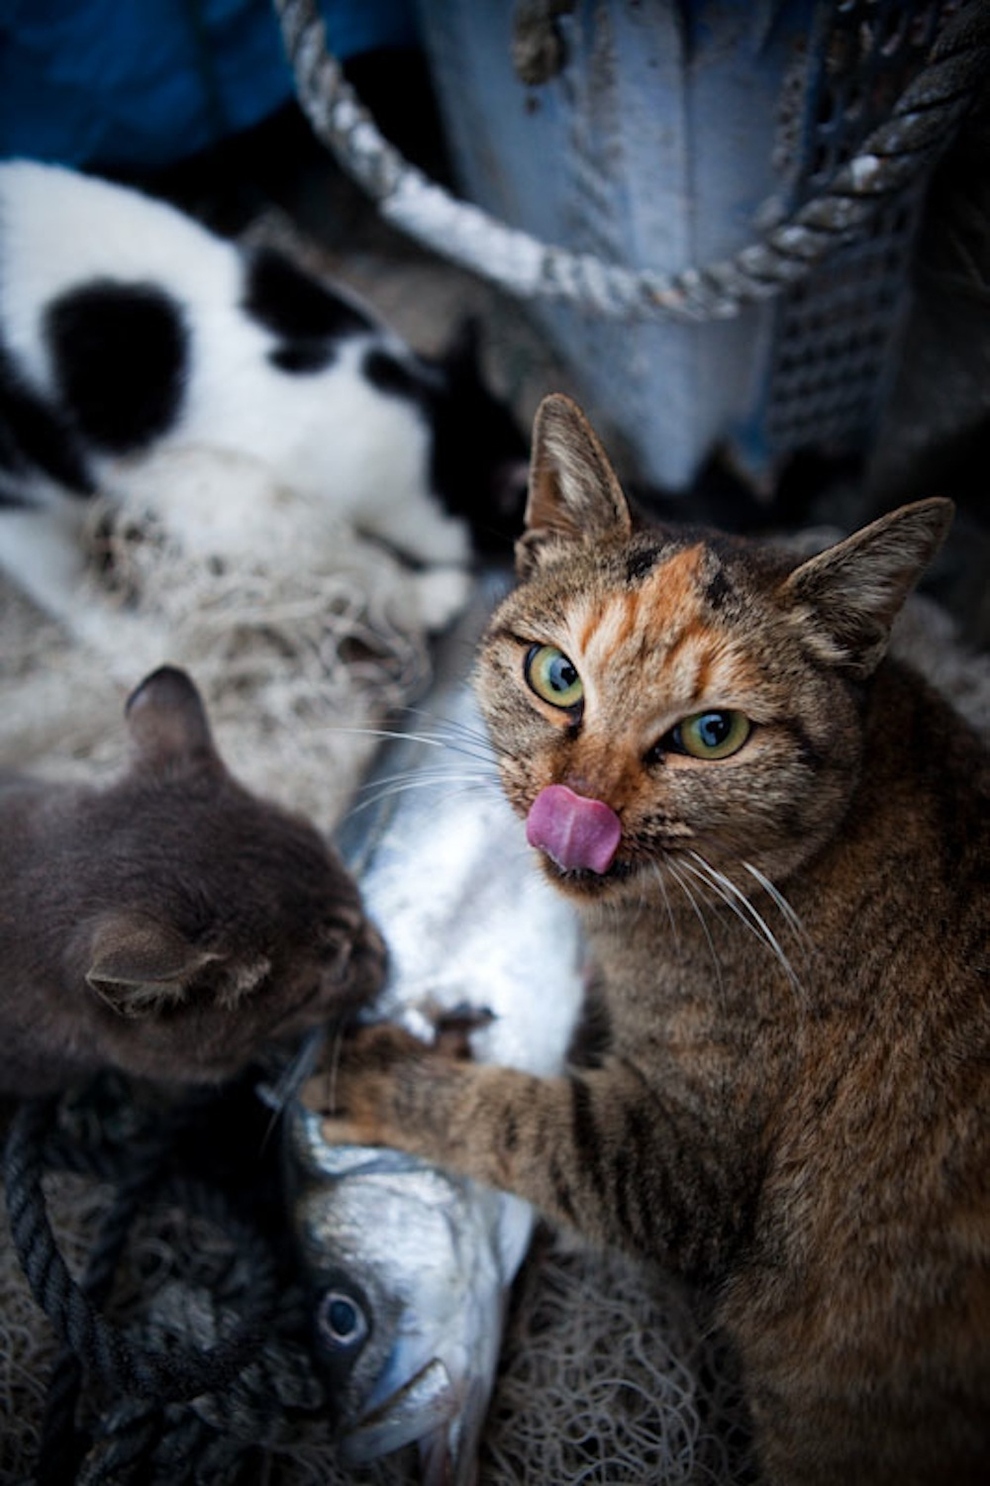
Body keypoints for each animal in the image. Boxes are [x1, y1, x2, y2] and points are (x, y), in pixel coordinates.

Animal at [304, 392, 981, 1474]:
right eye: (555, 675)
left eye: (714, 733)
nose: (575, 809)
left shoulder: (678, 1158)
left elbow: (517, 1121)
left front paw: (372, 1076)